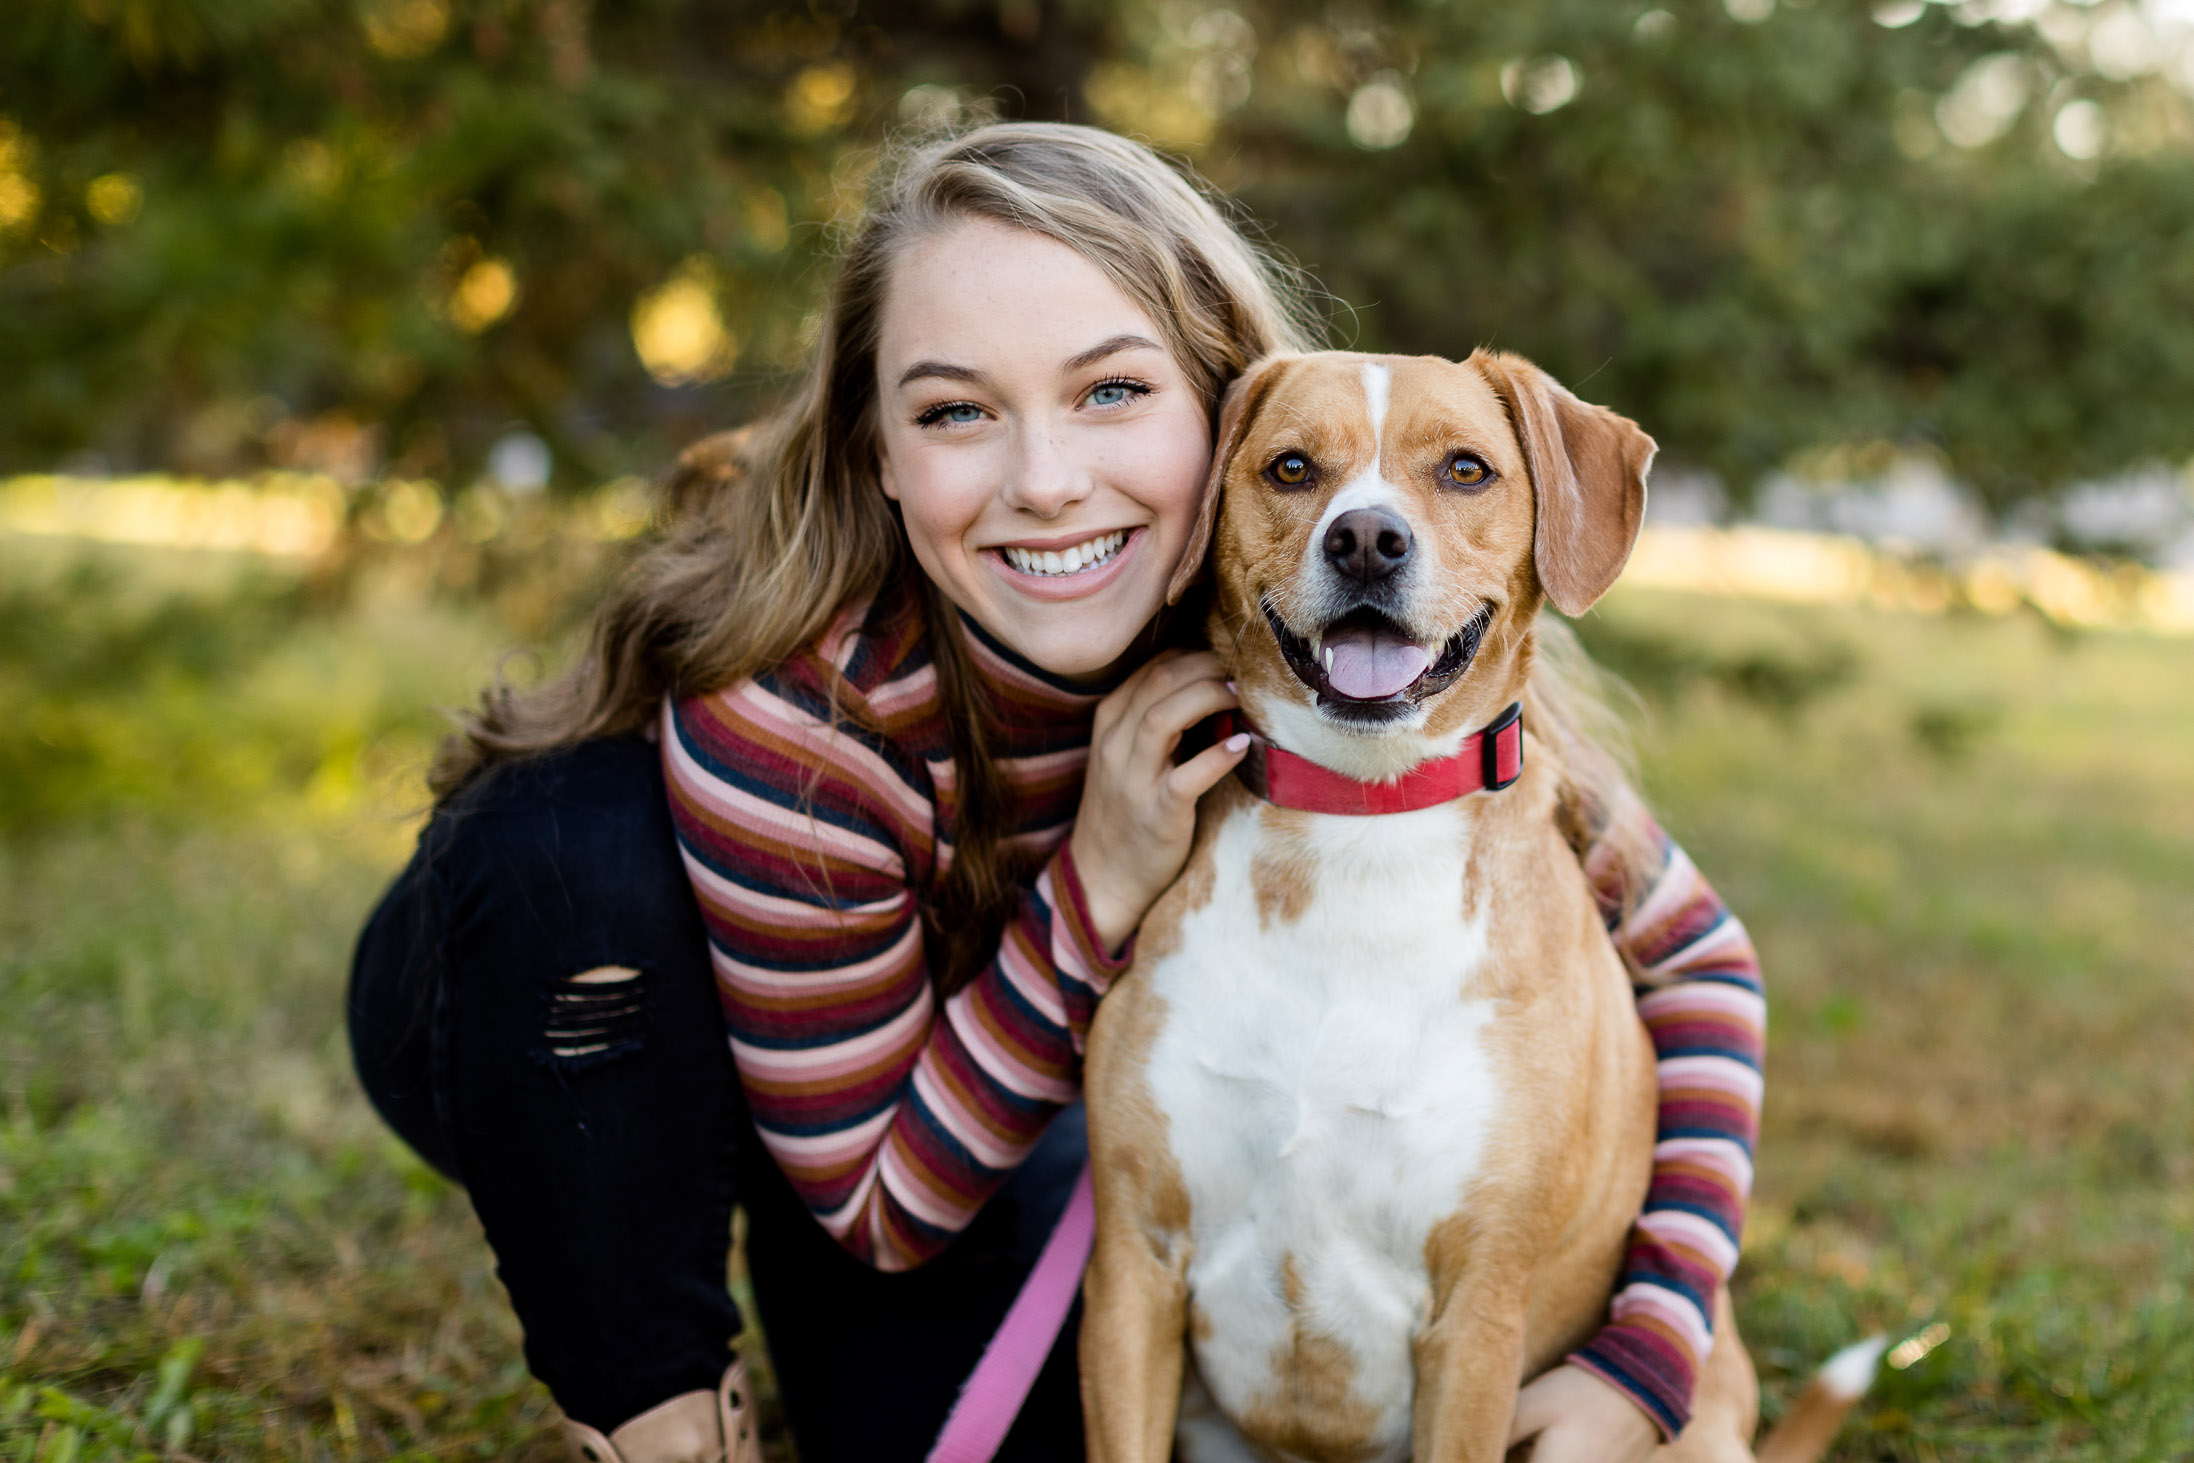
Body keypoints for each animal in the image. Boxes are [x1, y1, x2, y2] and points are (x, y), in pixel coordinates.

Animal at [1079, 350, 1869, 1463]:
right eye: (1291, 467)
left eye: (1464, 468)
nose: (1367, 539)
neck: (1358, 825)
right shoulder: (1132, 1269)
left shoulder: (1478, 1309)